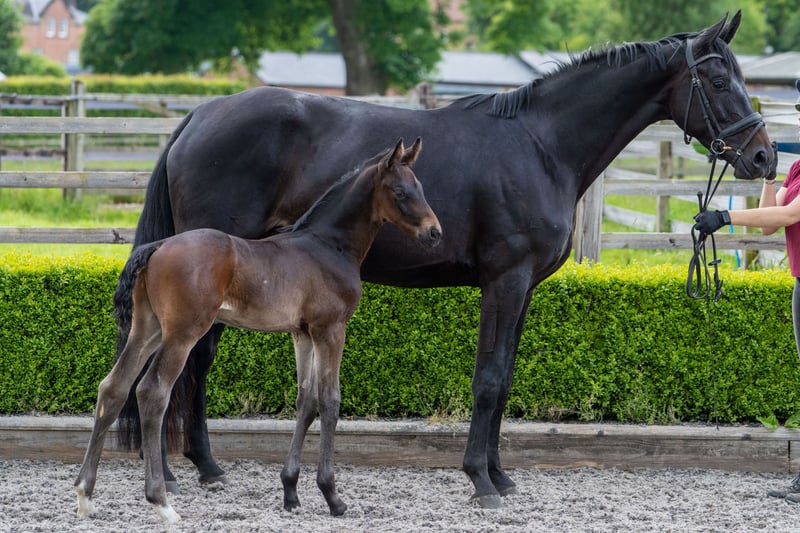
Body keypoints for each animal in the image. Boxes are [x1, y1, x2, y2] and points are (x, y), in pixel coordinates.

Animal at [75, 138, 442, 523]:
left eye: (420, 187)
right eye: (400, 192)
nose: (435, 232)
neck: (327, 245)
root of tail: (158, 245)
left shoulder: (302, 333)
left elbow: (306, 400)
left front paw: (291, 493)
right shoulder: (330, 329)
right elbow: (330, 400)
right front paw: (332, 496)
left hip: (148, 329)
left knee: (113, 387)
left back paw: (85, 495)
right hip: (182, 333)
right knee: (152, 391)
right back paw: (162, 502)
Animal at [118, 12, 773, 509]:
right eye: (717, 80)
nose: (763, 156)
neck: (541, 146)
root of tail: (199, 116)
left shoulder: (524, 288)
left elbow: (503, 380)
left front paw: (501, 475)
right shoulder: (504, 280)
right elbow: (488, 380)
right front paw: (480, 480)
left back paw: (187, 467)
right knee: (189, 362)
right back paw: (195, 468)